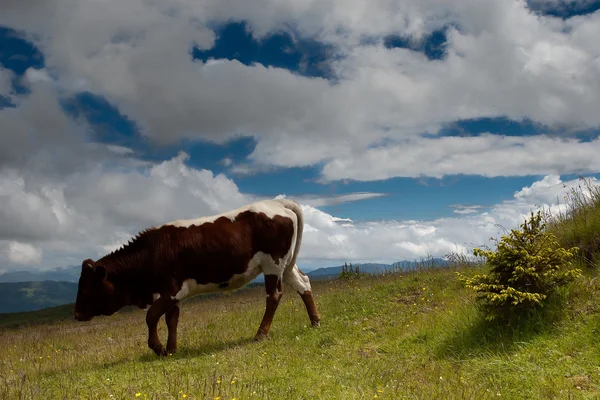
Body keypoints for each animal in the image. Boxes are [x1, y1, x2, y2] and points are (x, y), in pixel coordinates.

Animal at [73, 198, 322, 356]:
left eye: (86, 287)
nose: (76, 314)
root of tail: (278, 202)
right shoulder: (173, 293)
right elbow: (171, 319)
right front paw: (172, 349)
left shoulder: (172, 289)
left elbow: (152, 316)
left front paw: (158, 348)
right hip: (286, 264)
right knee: (303, 283)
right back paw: (315, 322)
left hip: (273, 264)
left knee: (274, 296)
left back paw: (261, 334)